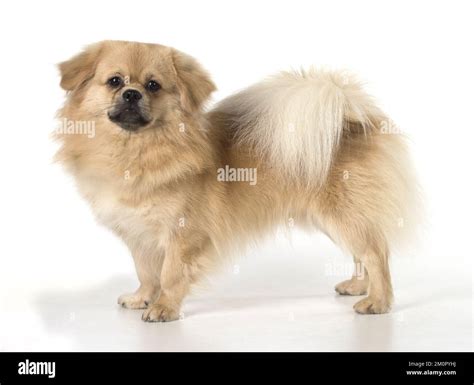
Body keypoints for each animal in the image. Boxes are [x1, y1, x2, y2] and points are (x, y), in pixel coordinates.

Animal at [55, 39, 418, 320]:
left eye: (153, 85)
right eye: (115, 81)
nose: (132, 94)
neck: (136, 151)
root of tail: (354, 119)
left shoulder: (183, 234)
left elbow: (170, 274)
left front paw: (165, 308)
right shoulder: (139, 235)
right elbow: (146, 273)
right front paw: (142, 297)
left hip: (342, 214)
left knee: (376, 252)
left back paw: (377, 301)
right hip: (334, 219)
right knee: (363, 252)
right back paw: (358, 287)